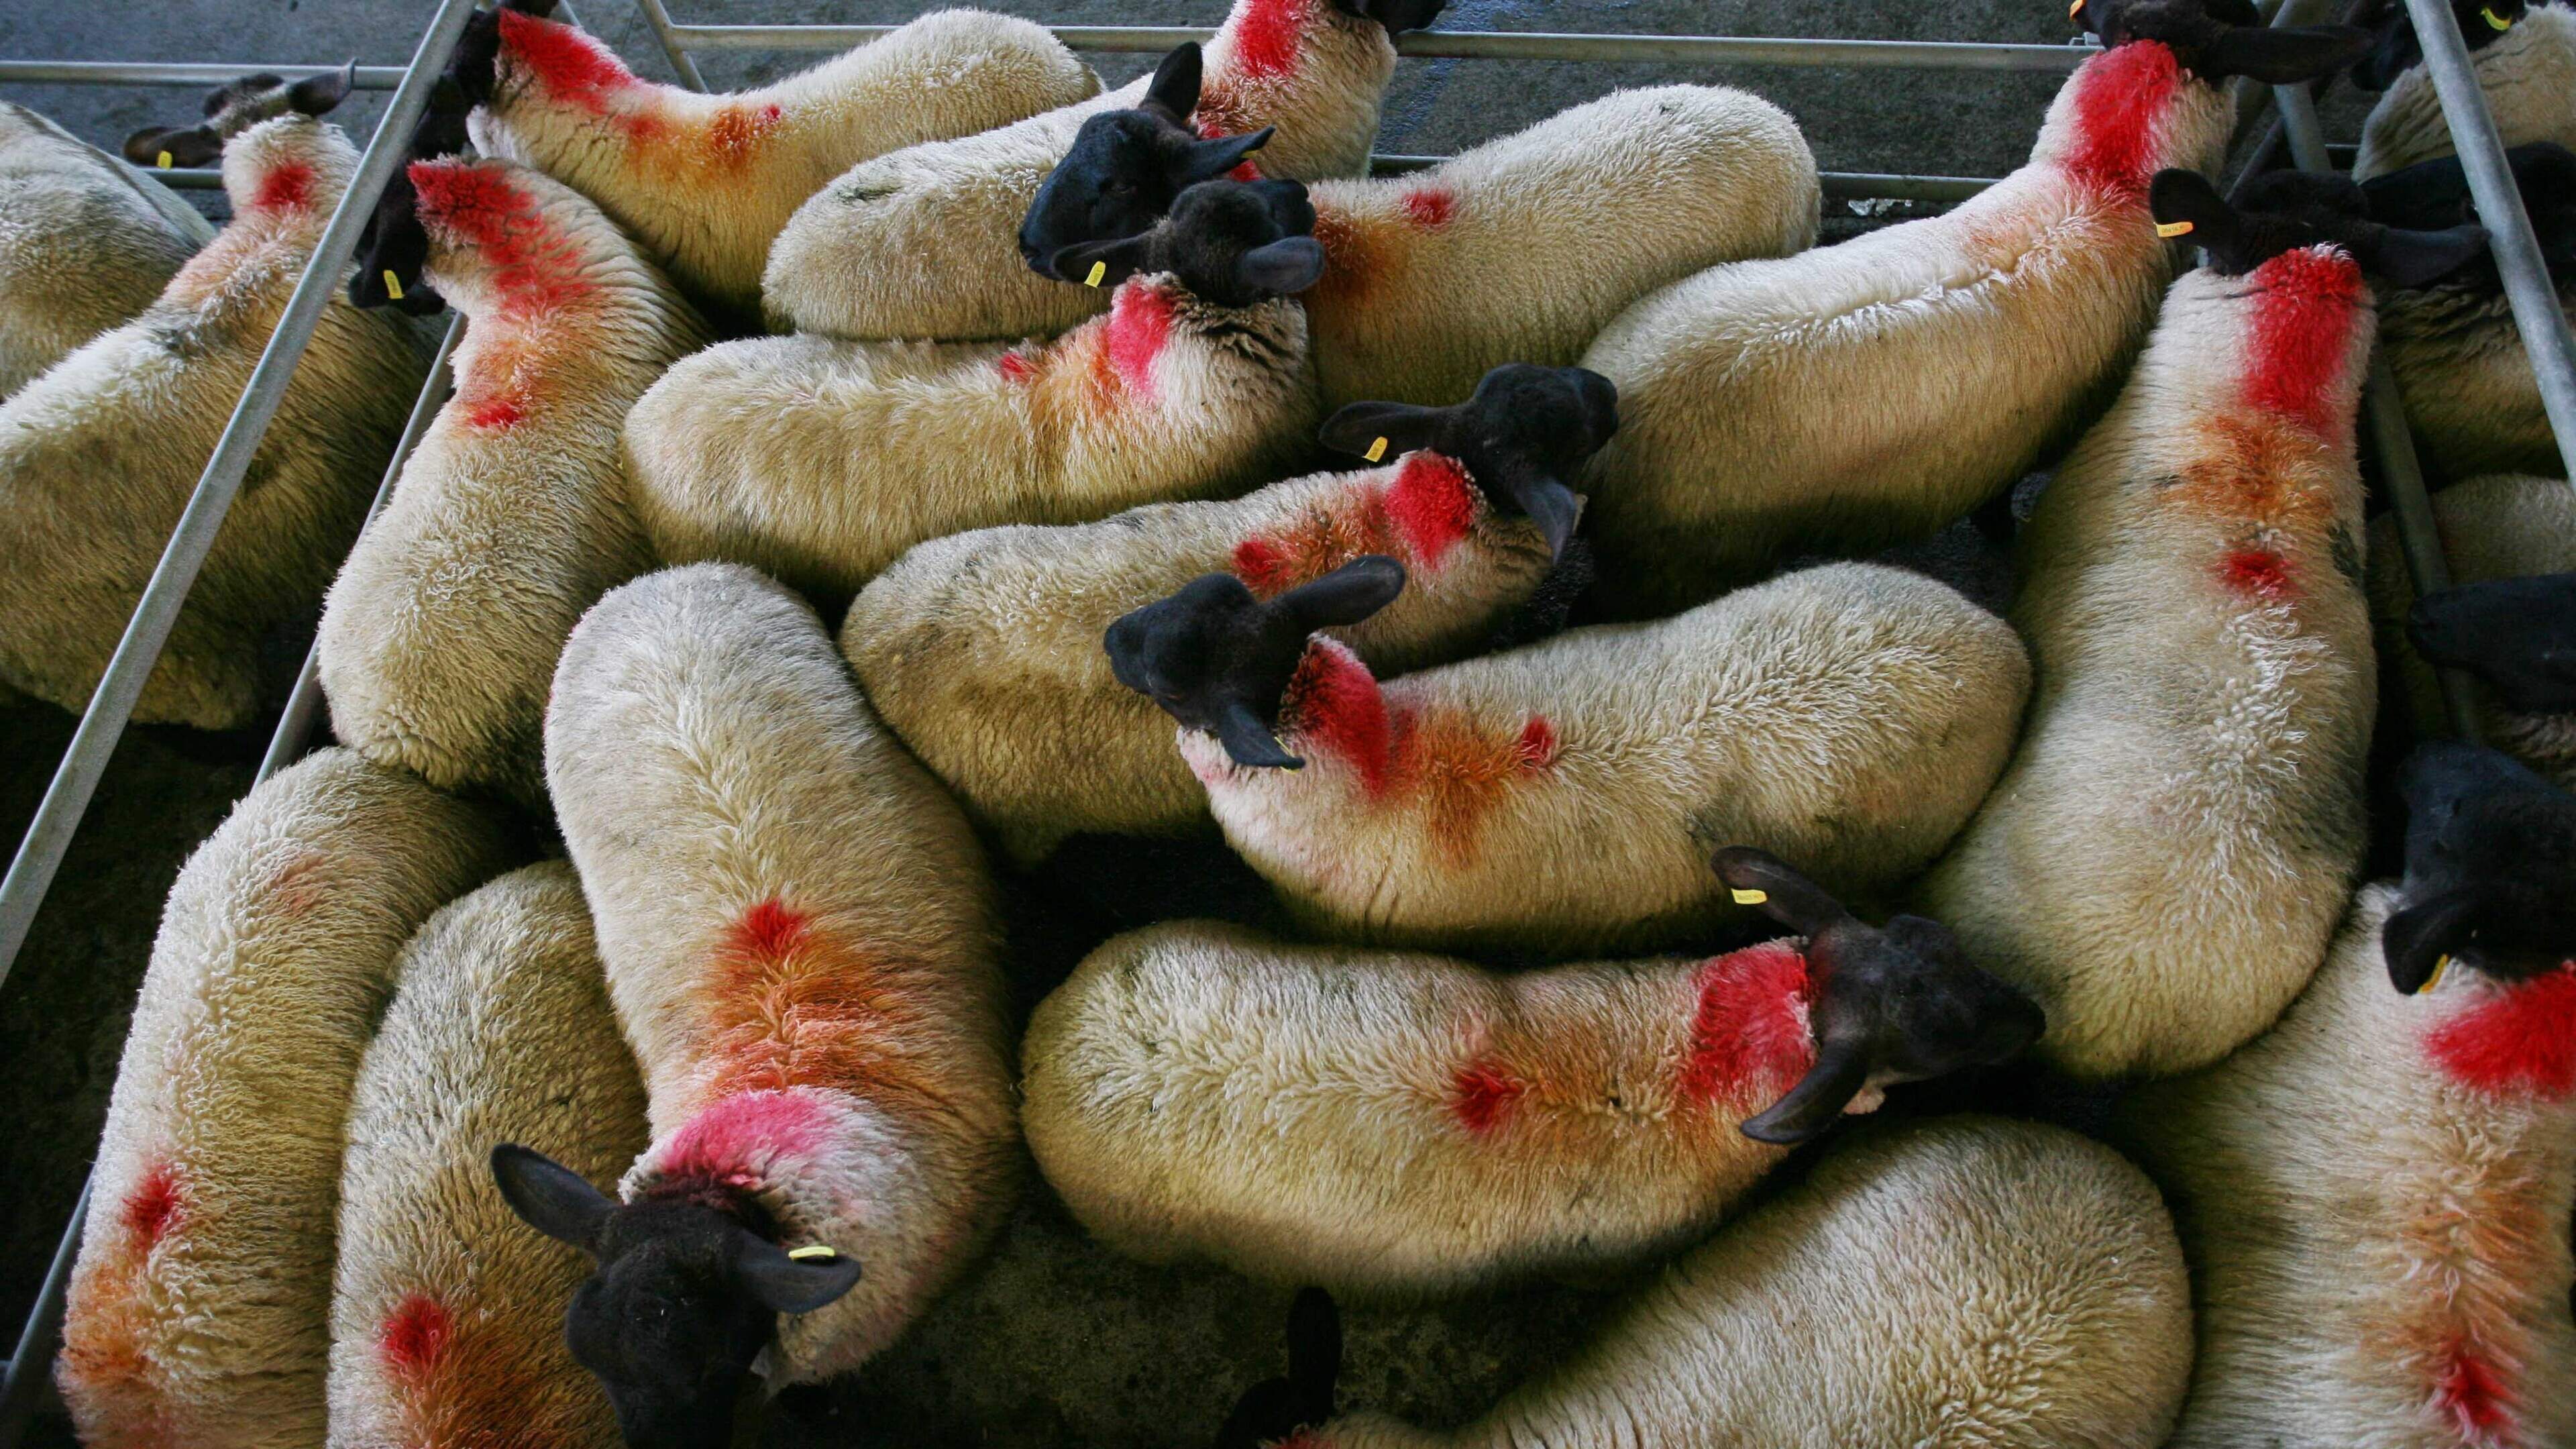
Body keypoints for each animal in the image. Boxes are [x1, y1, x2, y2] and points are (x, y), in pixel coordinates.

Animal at [1568, 0, 2374, 618]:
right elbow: (1996, 501)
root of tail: (1613, 408)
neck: (2100, 179)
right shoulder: (2040, 435)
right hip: (1667, 565)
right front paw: (1999, 535)